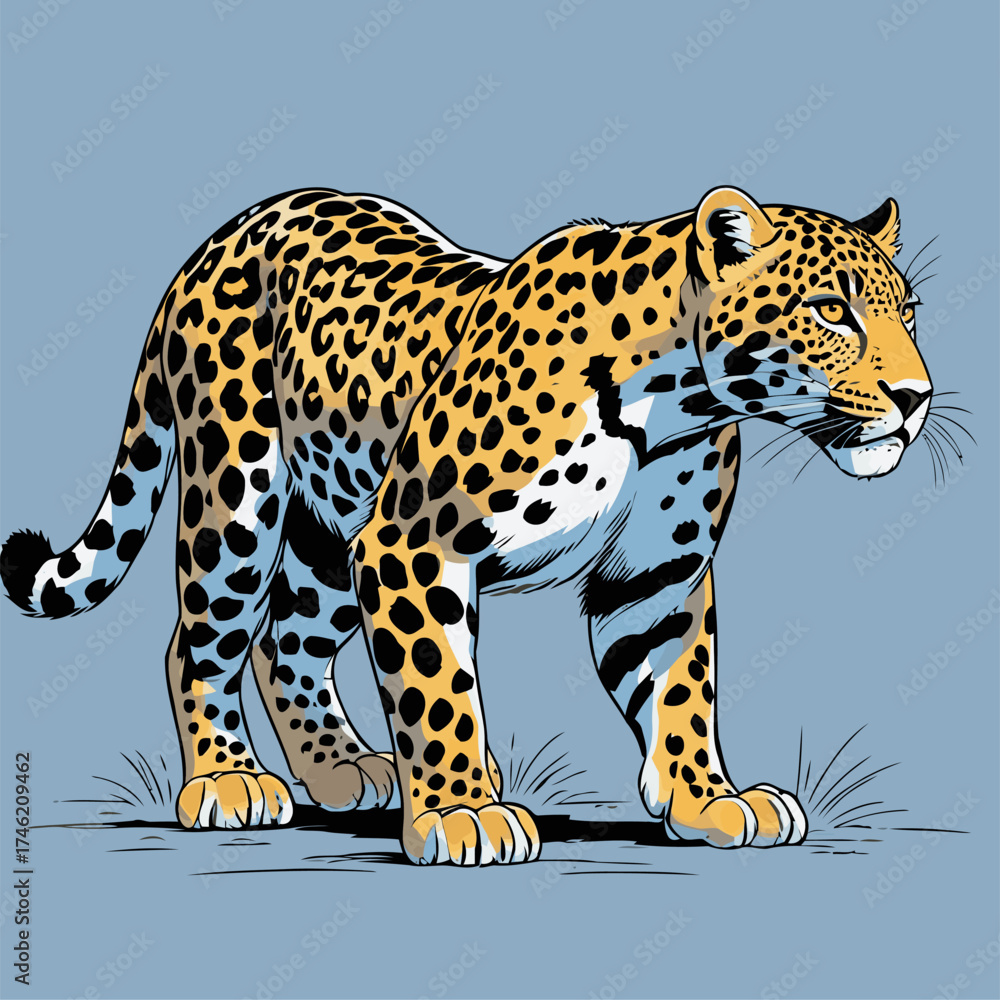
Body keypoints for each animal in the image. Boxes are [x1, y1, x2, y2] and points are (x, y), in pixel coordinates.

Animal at [2, 185, 933, 865]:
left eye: (909, 312)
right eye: (831, 311)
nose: (916, 396)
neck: (677, 401)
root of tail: (224, 234)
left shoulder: (653, 580)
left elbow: (680, 693)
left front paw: (707, 798)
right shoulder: (413, 543)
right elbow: (437, 684)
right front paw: (459, 813)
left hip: (331, 529)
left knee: (284, 640)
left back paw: (342, 769)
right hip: (239, 496)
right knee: (200, 640)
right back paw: (230, 782)